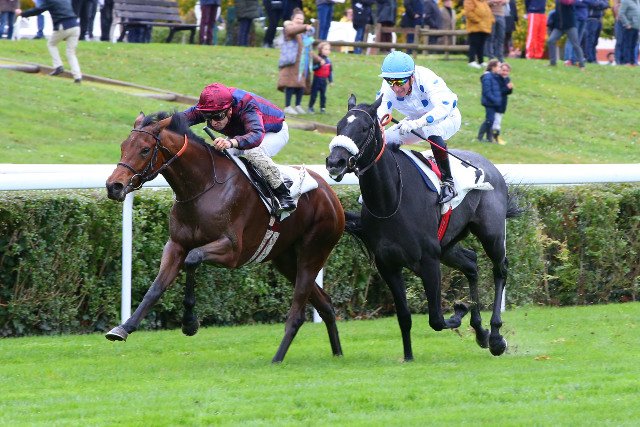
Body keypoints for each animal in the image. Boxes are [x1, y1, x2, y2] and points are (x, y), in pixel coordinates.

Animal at [105, 111, 345, 363]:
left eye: (144, 150)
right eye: (123, 146)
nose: (114, 186)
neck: (202, 187)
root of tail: (331, 195)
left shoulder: (232, 251)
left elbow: (193, 259)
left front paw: (189, 323)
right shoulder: (176, 245)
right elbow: (156, 287)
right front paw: (124, 328)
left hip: (313, 251)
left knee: (298, 313)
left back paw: (277, 358)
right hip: (286, 259)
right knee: (325, 303)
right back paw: (337, 353)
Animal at [325, 95, 522, 361]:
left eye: (364, 128)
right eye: (338, 126)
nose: (335, 162)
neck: (391, 200)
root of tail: (490, 167)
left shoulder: (429, 261)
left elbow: (436, 319)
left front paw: (459, 310)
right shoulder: (388, 265)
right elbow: (404, 316)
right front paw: (408, 356)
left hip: (491, 234)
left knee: (500, 270)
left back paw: (495, 336)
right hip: (447, 245)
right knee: (471, 264)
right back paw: (480, 331)